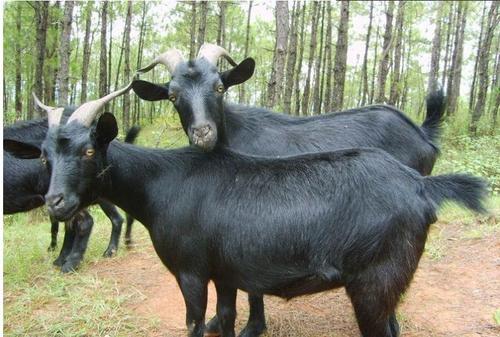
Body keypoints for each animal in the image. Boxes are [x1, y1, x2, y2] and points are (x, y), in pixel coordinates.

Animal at [132, 44, 446, 334]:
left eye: (219, 87)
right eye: (173, 96)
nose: (202, 133)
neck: (233, 134)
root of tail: (422, 133)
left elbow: (252, 285)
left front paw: (253, 327)